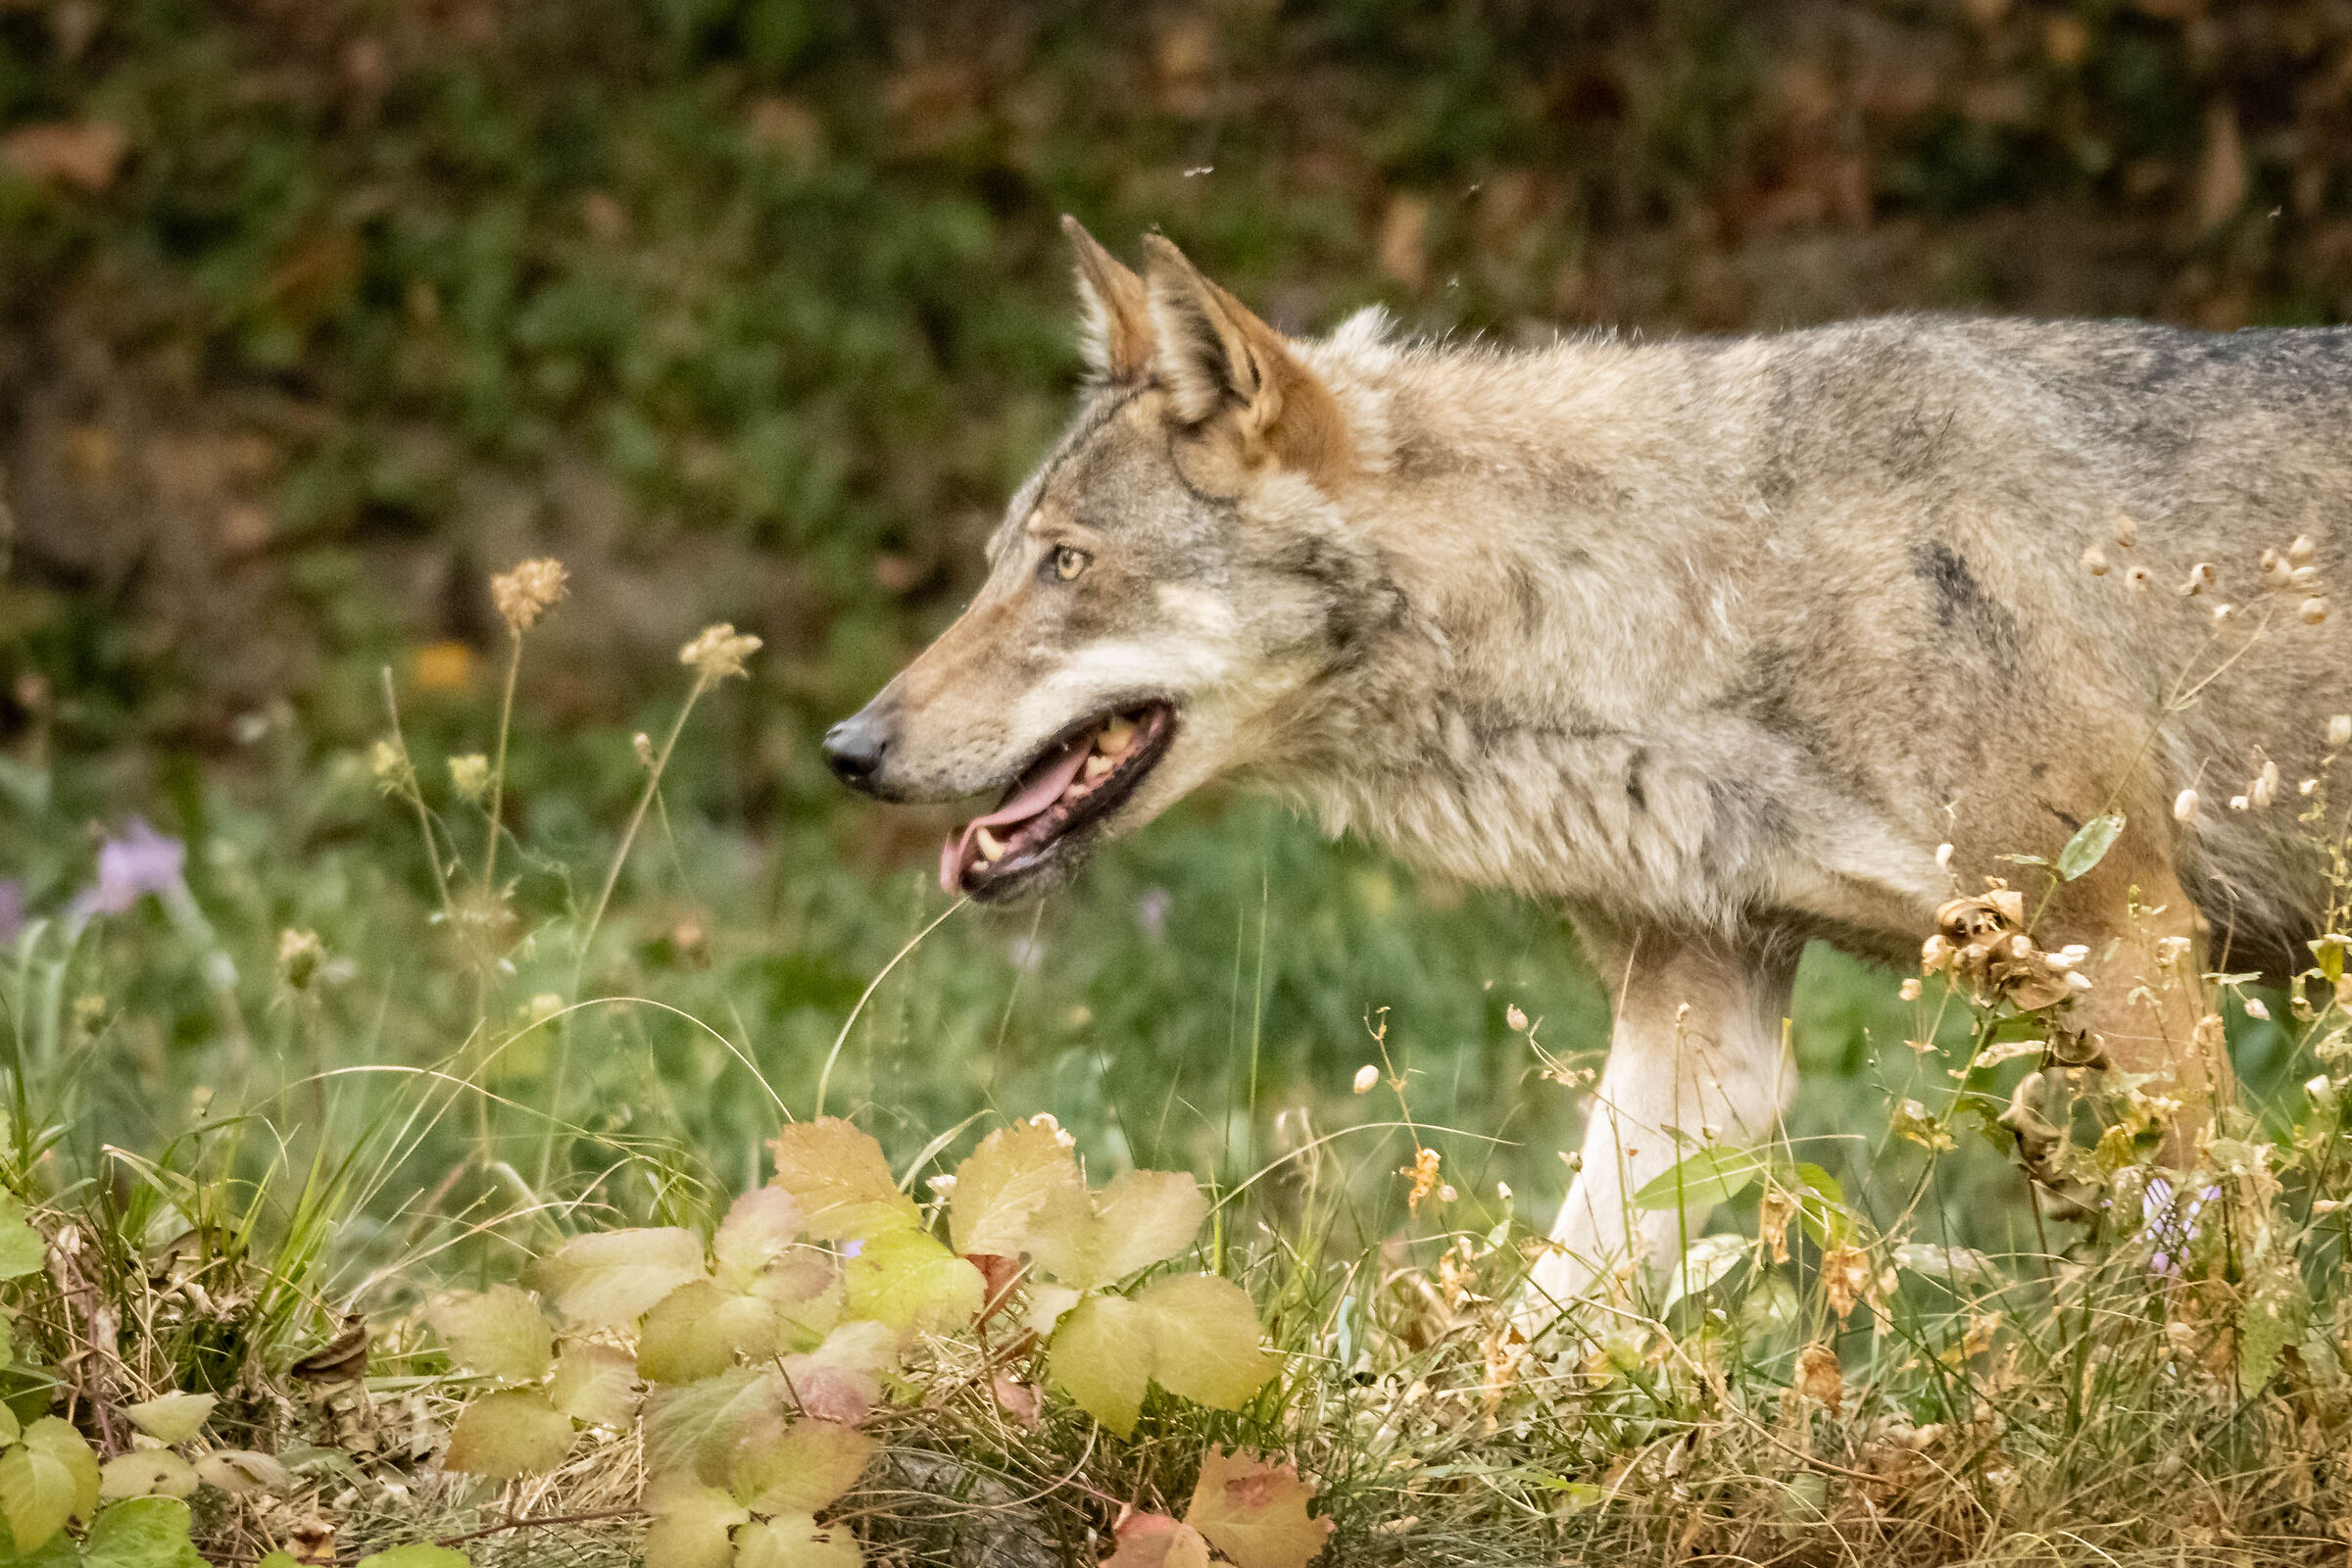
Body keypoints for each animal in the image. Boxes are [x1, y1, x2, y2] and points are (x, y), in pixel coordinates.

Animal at [824, 217, 2352, 1321]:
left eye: (1068, 565)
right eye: (997, 565)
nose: (849, 750)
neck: (1693, 588)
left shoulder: (2131, 941)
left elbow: (2236, 1280)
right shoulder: (1700, 1029)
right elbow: (1549, 1320)